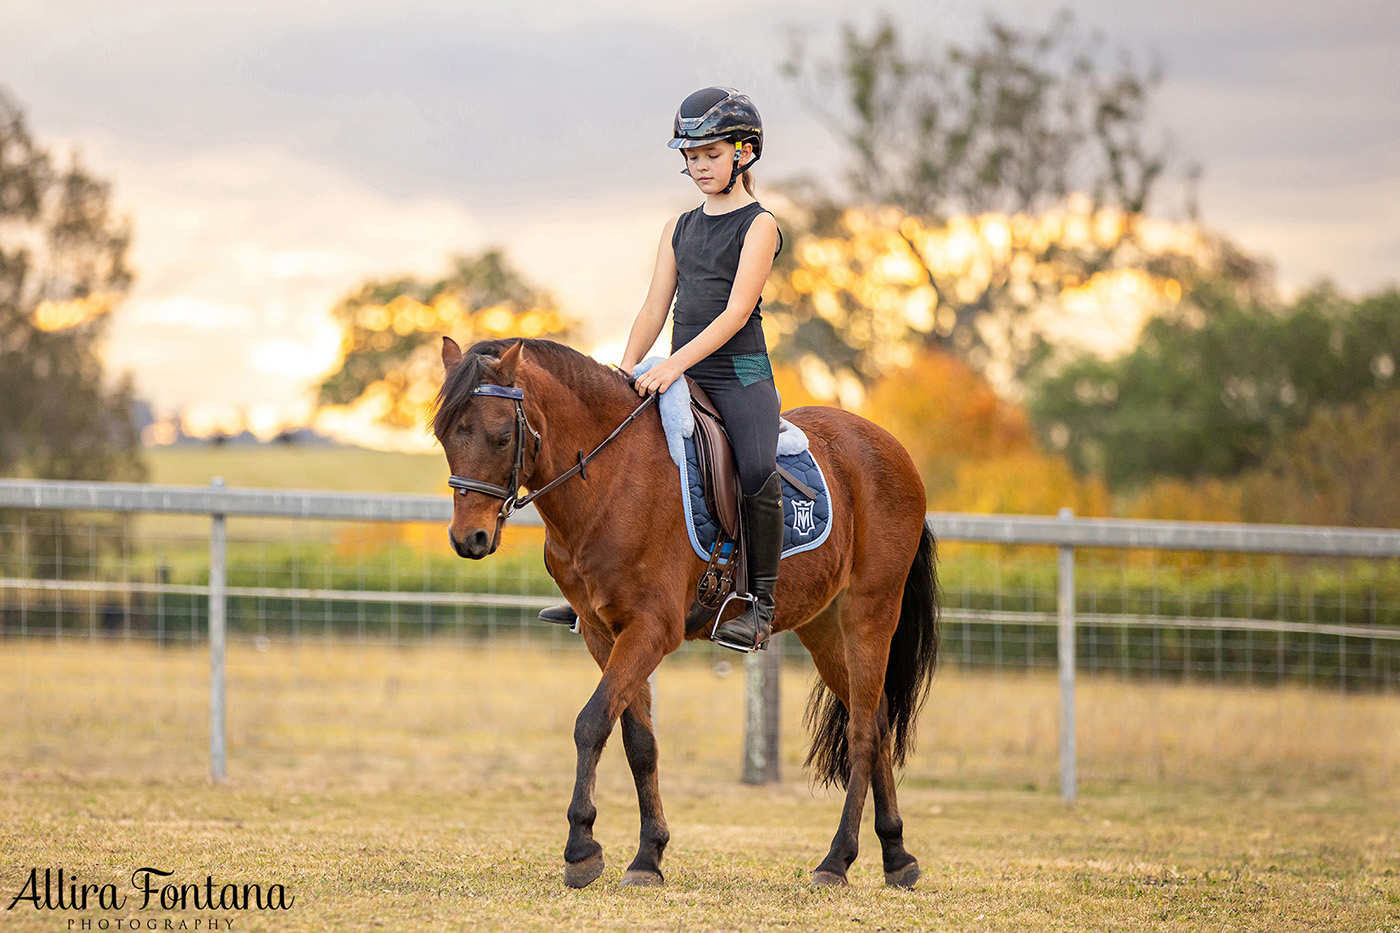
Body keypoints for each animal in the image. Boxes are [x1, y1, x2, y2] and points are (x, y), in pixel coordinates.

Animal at [434, 334, 940, 885]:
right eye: (444, 437)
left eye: (503, 437)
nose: (468, 539)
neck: (611, 479)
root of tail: (891, 447)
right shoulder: (602, 631)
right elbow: (639, 741)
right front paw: (647, 856)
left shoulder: (651, 629)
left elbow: (591, 723)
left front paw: (581, 848)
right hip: (825, 627)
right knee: (877, 718)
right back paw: (898, 855)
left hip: (869, 611)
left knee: (863, 730)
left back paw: (837, 860)